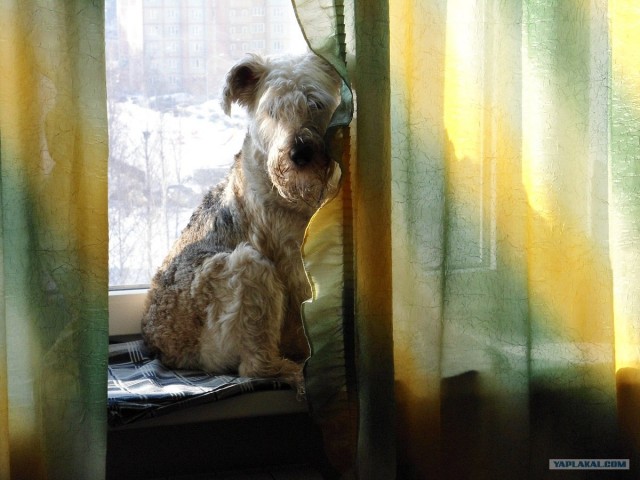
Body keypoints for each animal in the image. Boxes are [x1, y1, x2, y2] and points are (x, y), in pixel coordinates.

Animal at [140, 52, 342, 390]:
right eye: (271, 110)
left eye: (315, 103)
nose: (299, 154)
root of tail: (164, 348)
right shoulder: (292, 259)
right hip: (248, 267)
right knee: (255, 364)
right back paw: (294, 371)